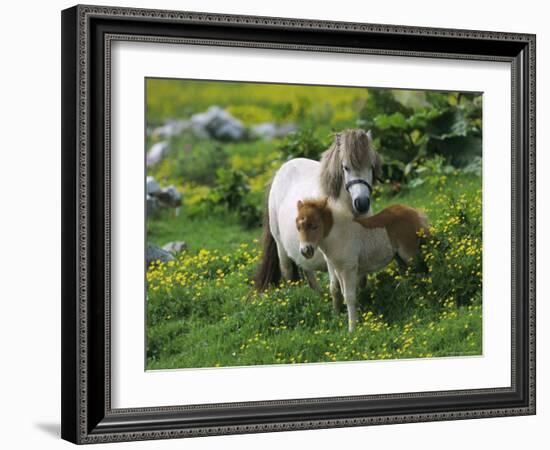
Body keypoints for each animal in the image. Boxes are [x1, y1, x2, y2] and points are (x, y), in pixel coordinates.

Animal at [256, 128, 382, 294]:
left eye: (371, 166)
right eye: (346, 167)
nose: (361, 203)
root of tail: (279, 172)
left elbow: (361, 280)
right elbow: (336, 286)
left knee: (307, 268)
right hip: (281, 247)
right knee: (287, 271)